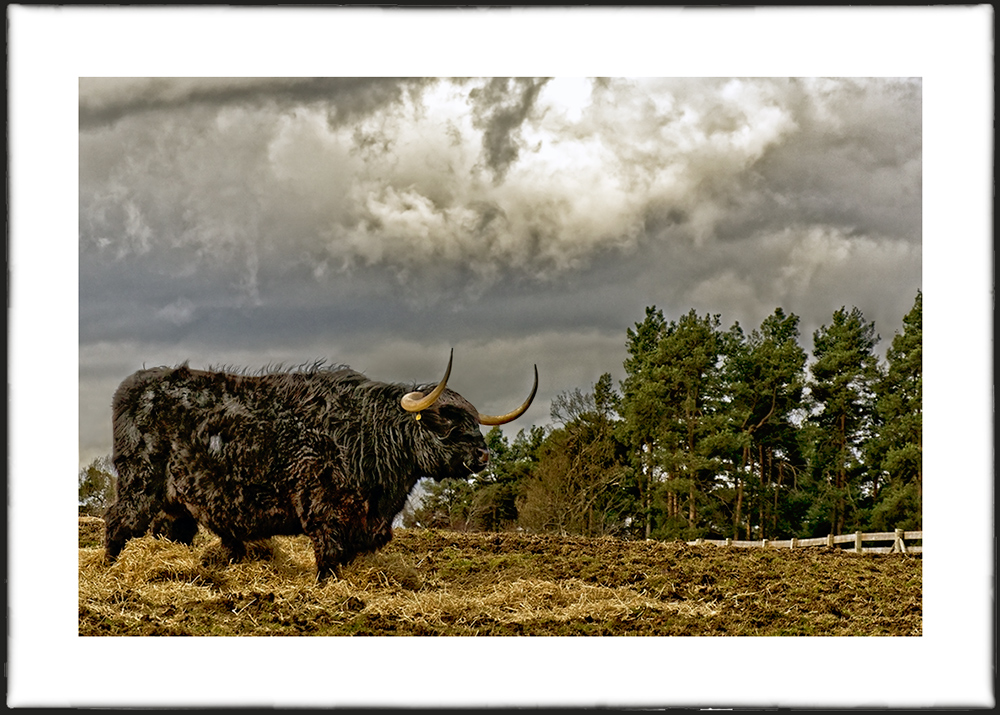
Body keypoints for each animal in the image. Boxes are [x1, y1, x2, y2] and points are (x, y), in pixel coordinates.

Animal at [104, 352, 536, 580]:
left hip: (174, 503)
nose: (482, 455)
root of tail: (135, 385)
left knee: (167, 532)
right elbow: (328, 555)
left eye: (473, 421)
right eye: (445, 422)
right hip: (140, 482)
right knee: (117, 522)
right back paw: (108, 570)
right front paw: (324, 587)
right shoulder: (327, 509)